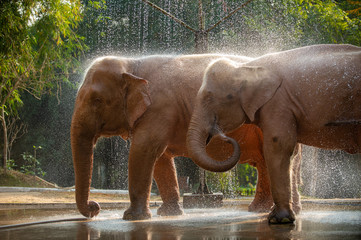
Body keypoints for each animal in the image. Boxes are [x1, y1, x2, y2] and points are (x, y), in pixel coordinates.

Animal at [70, 53, 300, 220]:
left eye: (97, 100)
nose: (94, 208)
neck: (132, 63)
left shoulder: (160, 108)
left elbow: (143, 150)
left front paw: (132, 218)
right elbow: (160, 158)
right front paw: (169, 214)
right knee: (269, 162)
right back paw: (261, 210)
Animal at [186, 43, 360, 225]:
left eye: (211, 98)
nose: (223, 136)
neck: (247, 67)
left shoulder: (278, 103)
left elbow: (278, 145)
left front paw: (278, 219)